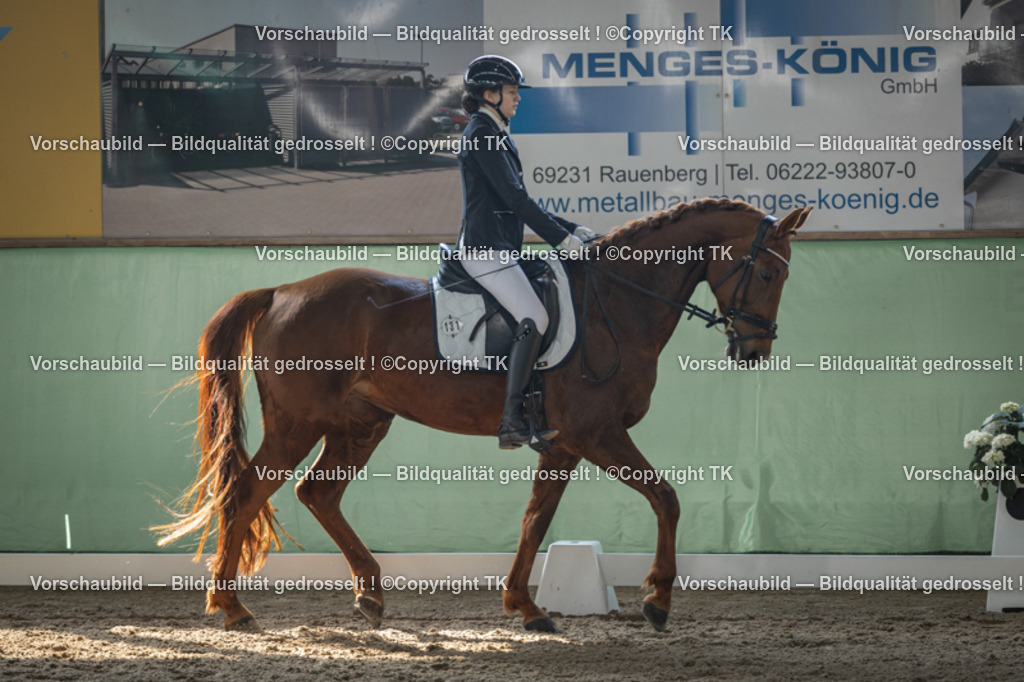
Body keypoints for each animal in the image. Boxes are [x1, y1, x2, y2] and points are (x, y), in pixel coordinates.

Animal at [155, 198, 811, 633]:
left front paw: (526, 606)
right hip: (299, 425)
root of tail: (280, 292)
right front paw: (656, 600)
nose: (755, 350)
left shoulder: (562, 443)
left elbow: (535, 522)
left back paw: (369, 595)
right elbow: (666, 498)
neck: (617, 303)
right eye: (768, 271)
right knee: (244, 493)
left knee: (318, 494)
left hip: (361, 423)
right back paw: (231, 607)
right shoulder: (596, 433)